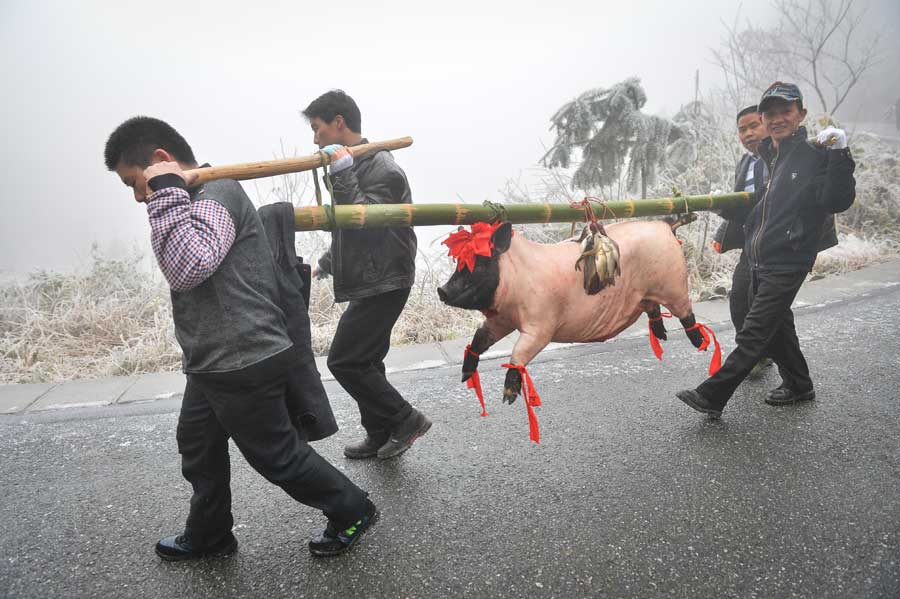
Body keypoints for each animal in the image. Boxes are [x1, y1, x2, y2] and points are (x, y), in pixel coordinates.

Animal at [436, 219, 716, 422]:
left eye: (480, 264)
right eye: (458, 262)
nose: (442, 290)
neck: (516, 281)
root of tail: (665, 227)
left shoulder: (541, 325)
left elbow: (519, 352)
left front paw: (508, 399)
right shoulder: (503, 321)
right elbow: (480, 337)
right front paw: (465, 375)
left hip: (674, 285)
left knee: (685, 314)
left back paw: (700, 343)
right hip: (648, 294)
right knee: (653, 309)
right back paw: (662, 336)